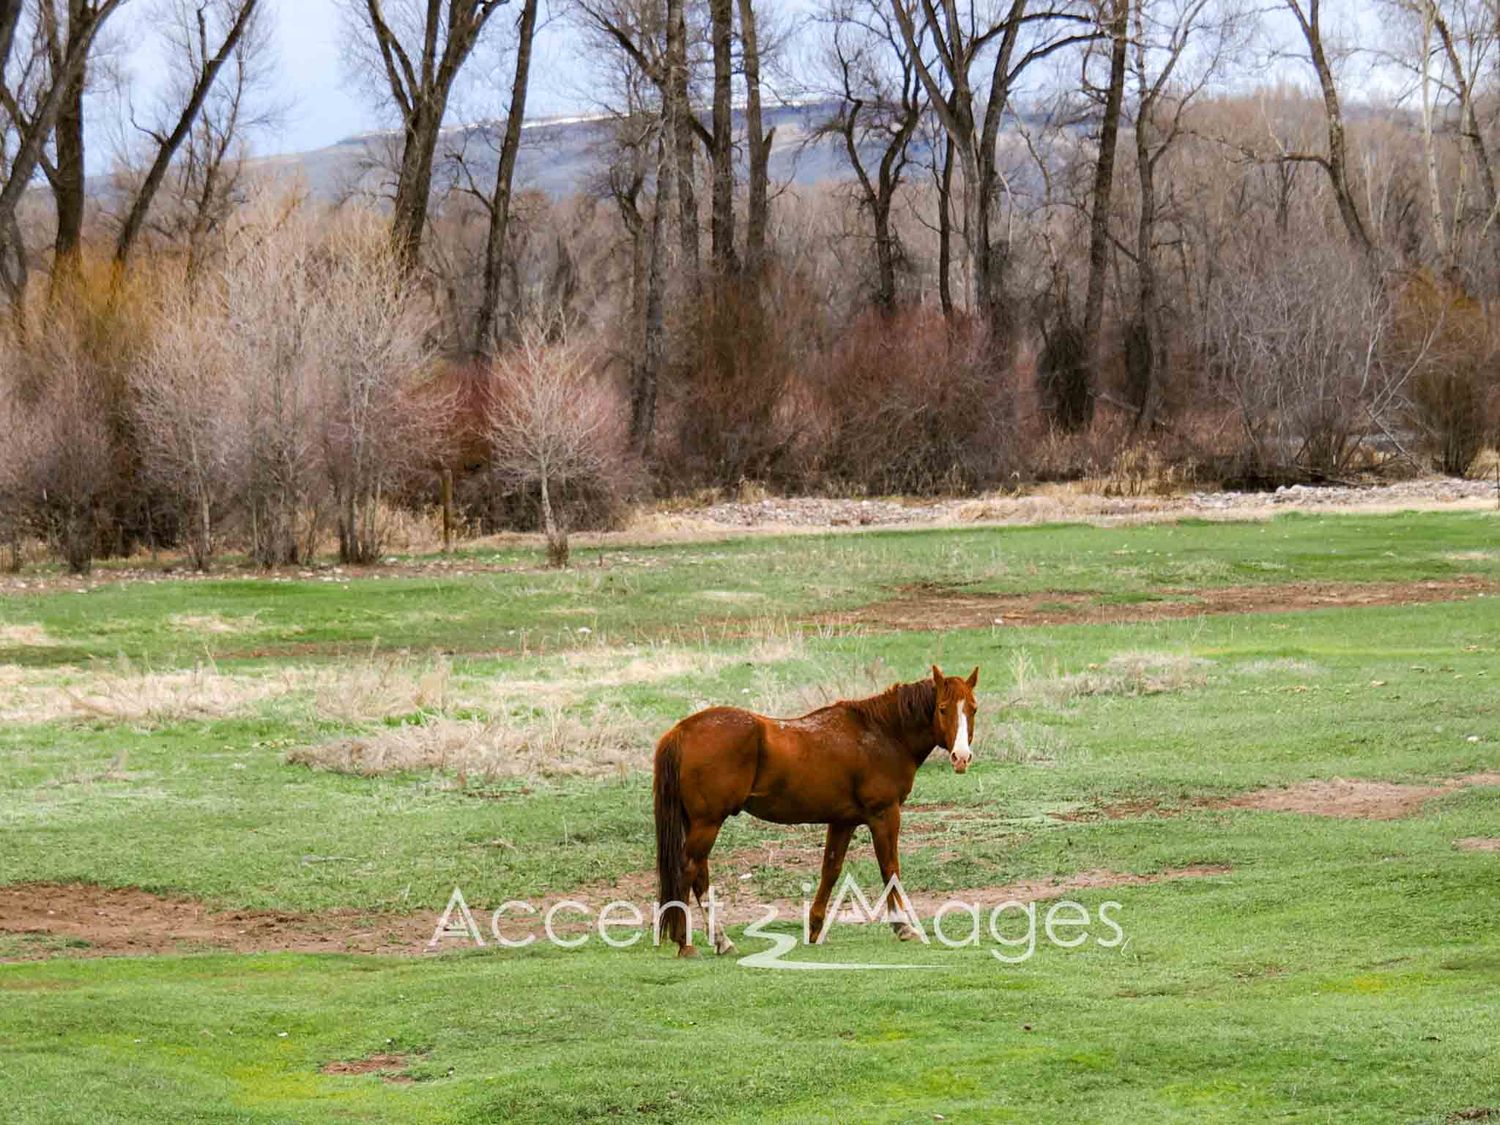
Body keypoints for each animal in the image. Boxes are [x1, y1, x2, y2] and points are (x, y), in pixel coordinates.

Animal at [652, 664, 980, 957]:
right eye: (942, 708)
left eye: (973, 709)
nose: (961, 757)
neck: (883, 733)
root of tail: (682, 729)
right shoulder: (884, 815)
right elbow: (890, 869)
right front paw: (902, 926)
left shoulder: (843, 821)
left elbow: (831, 870)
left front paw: (815, 928)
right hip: (708, 822)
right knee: (688, 869)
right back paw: (684, 942)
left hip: (699, 823)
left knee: (699, 875)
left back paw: (721, 940)